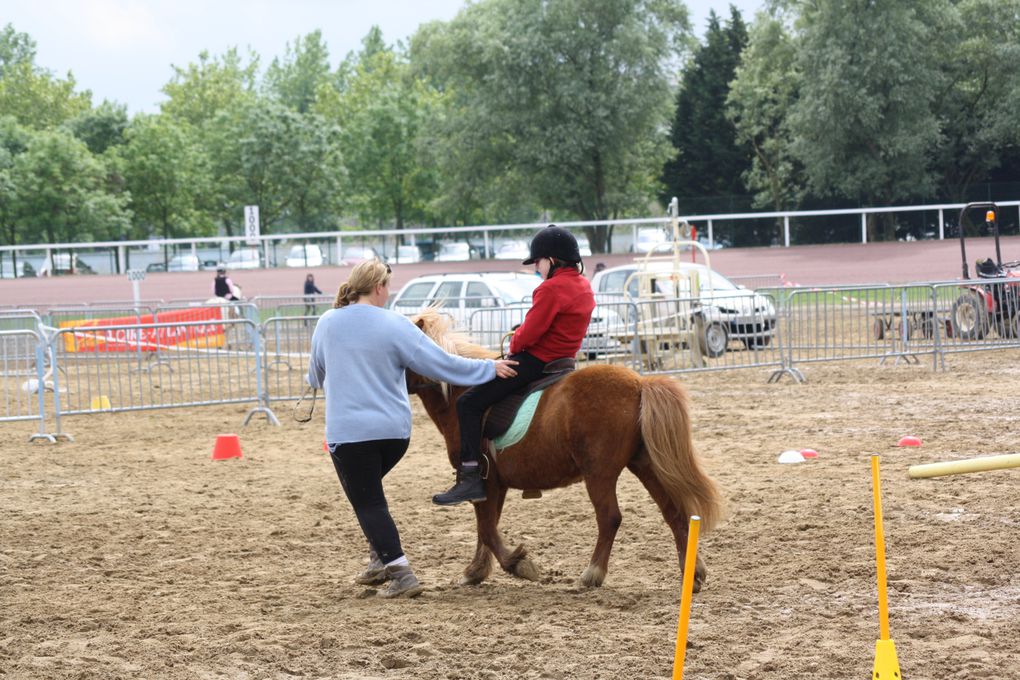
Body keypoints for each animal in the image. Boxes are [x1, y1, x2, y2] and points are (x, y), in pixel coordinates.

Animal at [410, 307, 722, 591]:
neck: (458, 393)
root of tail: (639, 383)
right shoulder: (493, 485)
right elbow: (486, 526)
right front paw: (476, 571)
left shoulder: (482, 481)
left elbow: (486, 528)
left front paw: (517, 565)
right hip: (644, 465)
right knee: (673, 512)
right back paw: (692, 574)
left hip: (599, 474)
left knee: (610, 518)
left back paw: (592, 574)